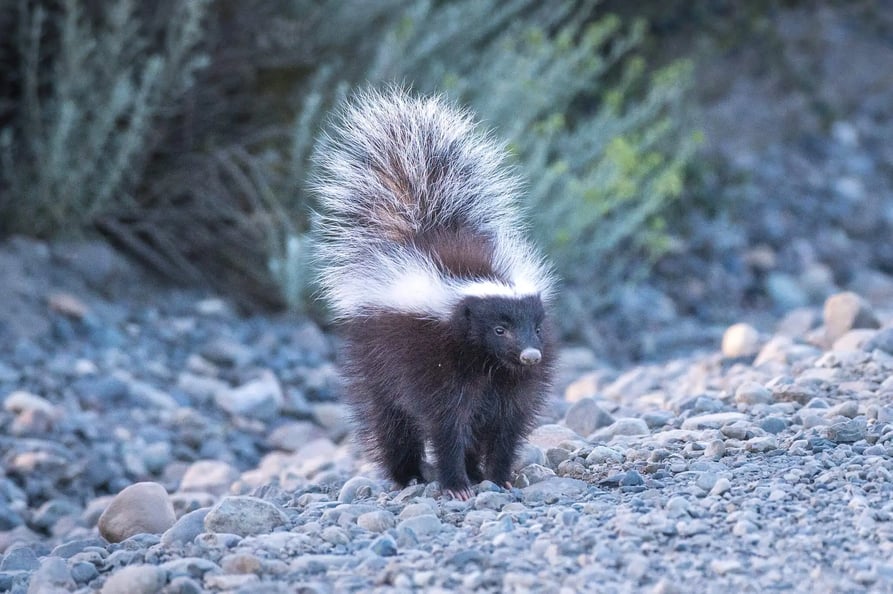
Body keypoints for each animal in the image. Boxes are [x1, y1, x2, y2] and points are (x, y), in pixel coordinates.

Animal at [310, 85, 556, 498]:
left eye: (536, 328)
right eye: (498, 329)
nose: (531, 355)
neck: (486, 363)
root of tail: (418, 228)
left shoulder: (508, 382)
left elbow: (506, 424)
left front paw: (498, 477)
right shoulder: (433, 363)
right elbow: (446, 424)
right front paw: (455, 485)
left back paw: (472, 470)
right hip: (373, 360)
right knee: (389, 421)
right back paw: (408, 474)